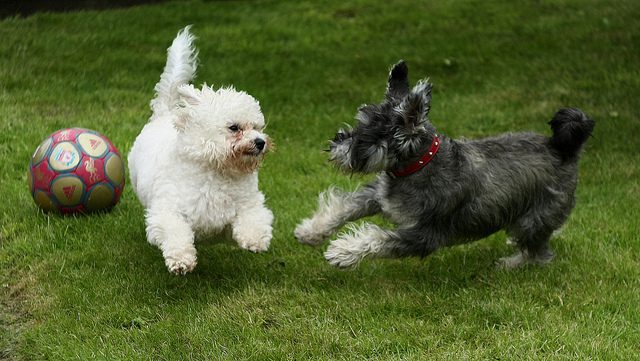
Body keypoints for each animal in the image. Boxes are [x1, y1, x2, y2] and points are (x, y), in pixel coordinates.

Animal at [127, 26, 272, 274]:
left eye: (257, 128)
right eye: (234, 128)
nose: (260, 142)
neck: (216, 171)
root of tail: (165, 113)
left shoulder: (243, 206)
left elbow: (252, 216)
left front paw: (254, 239)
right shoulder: (168, 211)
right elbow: (175, 231)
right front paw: (181, 259)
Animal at [296, 59, 596, 268]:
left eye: (369, 134)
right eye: (361, 121)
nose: (335, 144)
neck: (419, 165)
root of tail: (564, 148)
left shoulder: (424, 235)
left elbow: (377, 238)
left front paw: (342, 252)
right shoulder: (377, 196)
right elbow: (343, 206)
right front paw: (311, 231)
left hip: (534, 220)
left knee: (539, 253)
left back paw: (510, 264)